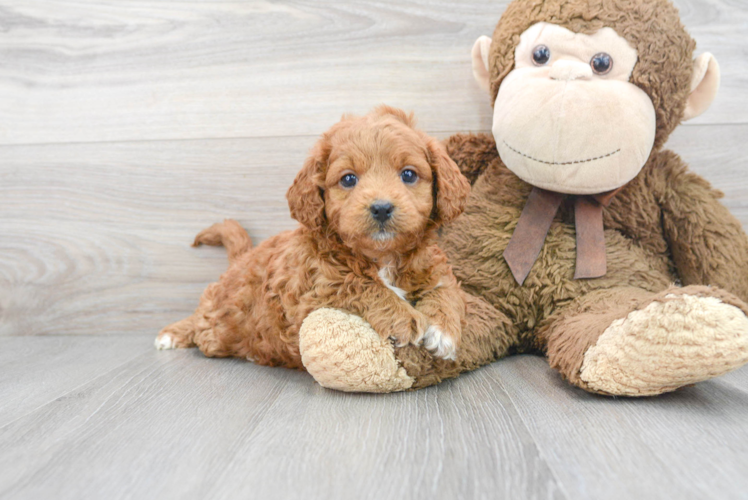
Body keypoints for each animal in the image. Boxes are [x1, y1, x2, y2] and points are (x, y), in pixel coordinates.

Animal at [155, 104, 470, 368]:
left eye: (408, 174)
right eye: (348, 179)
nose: (381, 208)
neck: (383, 257)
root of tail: (242, 258)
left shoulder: (434, 267)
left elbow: (446, 289)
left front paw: (443, 331)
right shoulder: (313, 293)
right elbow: (358, 284)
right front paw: (404, 318)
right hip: (218, 318)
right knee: (202, 318)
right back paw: (172, 334)